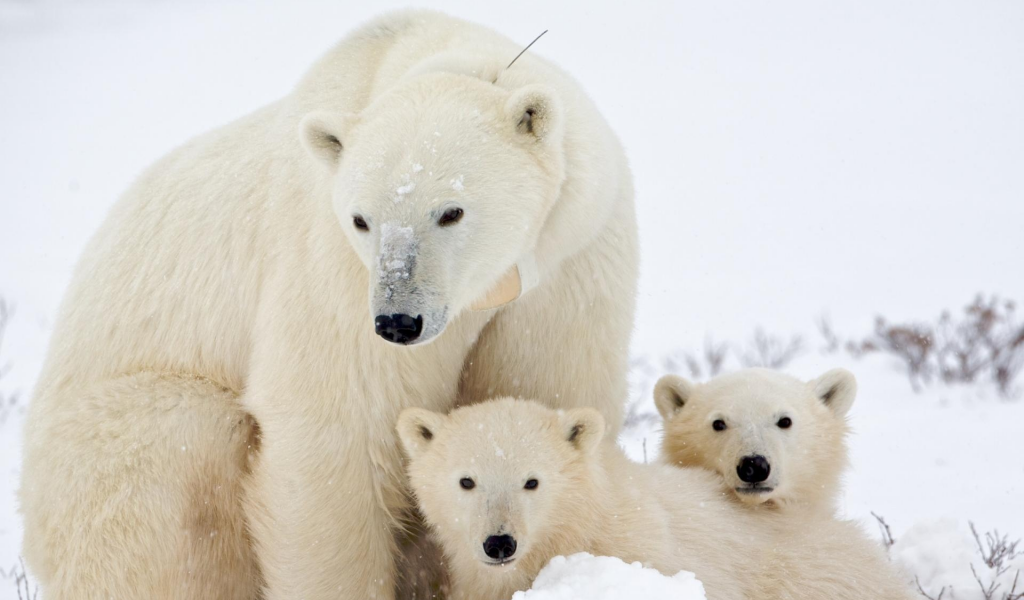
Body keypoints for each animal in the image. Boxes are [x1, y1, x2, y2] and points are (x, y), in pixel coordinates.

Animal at [19, 9, 634, 597]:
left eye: (451, 211)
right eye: (362, 219)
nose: (398, 321)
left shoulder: (568, 262)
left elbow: (544, 388)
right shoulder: (332, 266)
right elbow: (337, 428)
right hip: (102, 454)